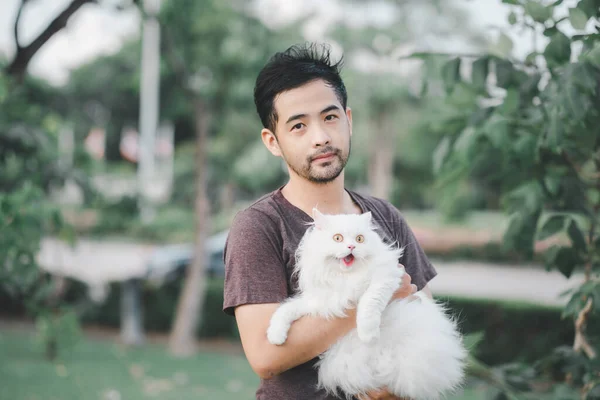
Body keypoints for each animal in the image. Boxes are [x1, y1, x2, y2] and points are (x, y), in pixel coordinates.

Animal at [268, 209, 468, 400]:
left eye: (359, 239)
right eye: (337, 238)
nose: (351, 246)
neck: (346, 278)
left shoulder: (384, 279)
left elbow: (368, 303)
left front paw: (368, 334)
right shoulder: (321, 302)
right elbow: (285, 310)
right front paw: (276, 337)